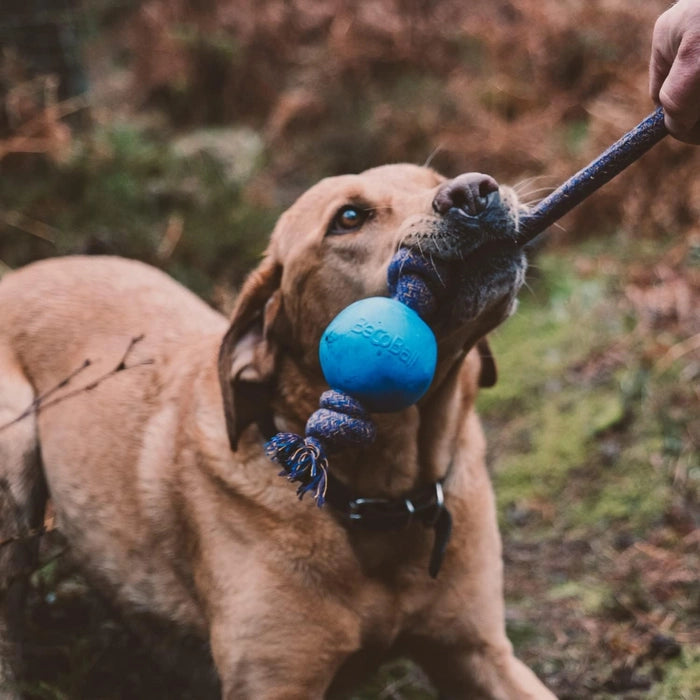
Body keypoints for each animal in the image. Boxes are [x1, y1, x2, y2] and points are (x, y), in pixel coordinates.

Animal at [1, 165, 556, 700]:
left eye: (436, 179)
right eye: (349, 217)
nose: (472, 192)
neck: (378, 497)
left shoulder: (479, 653)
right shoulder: (273, 682)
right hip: (16, 463)